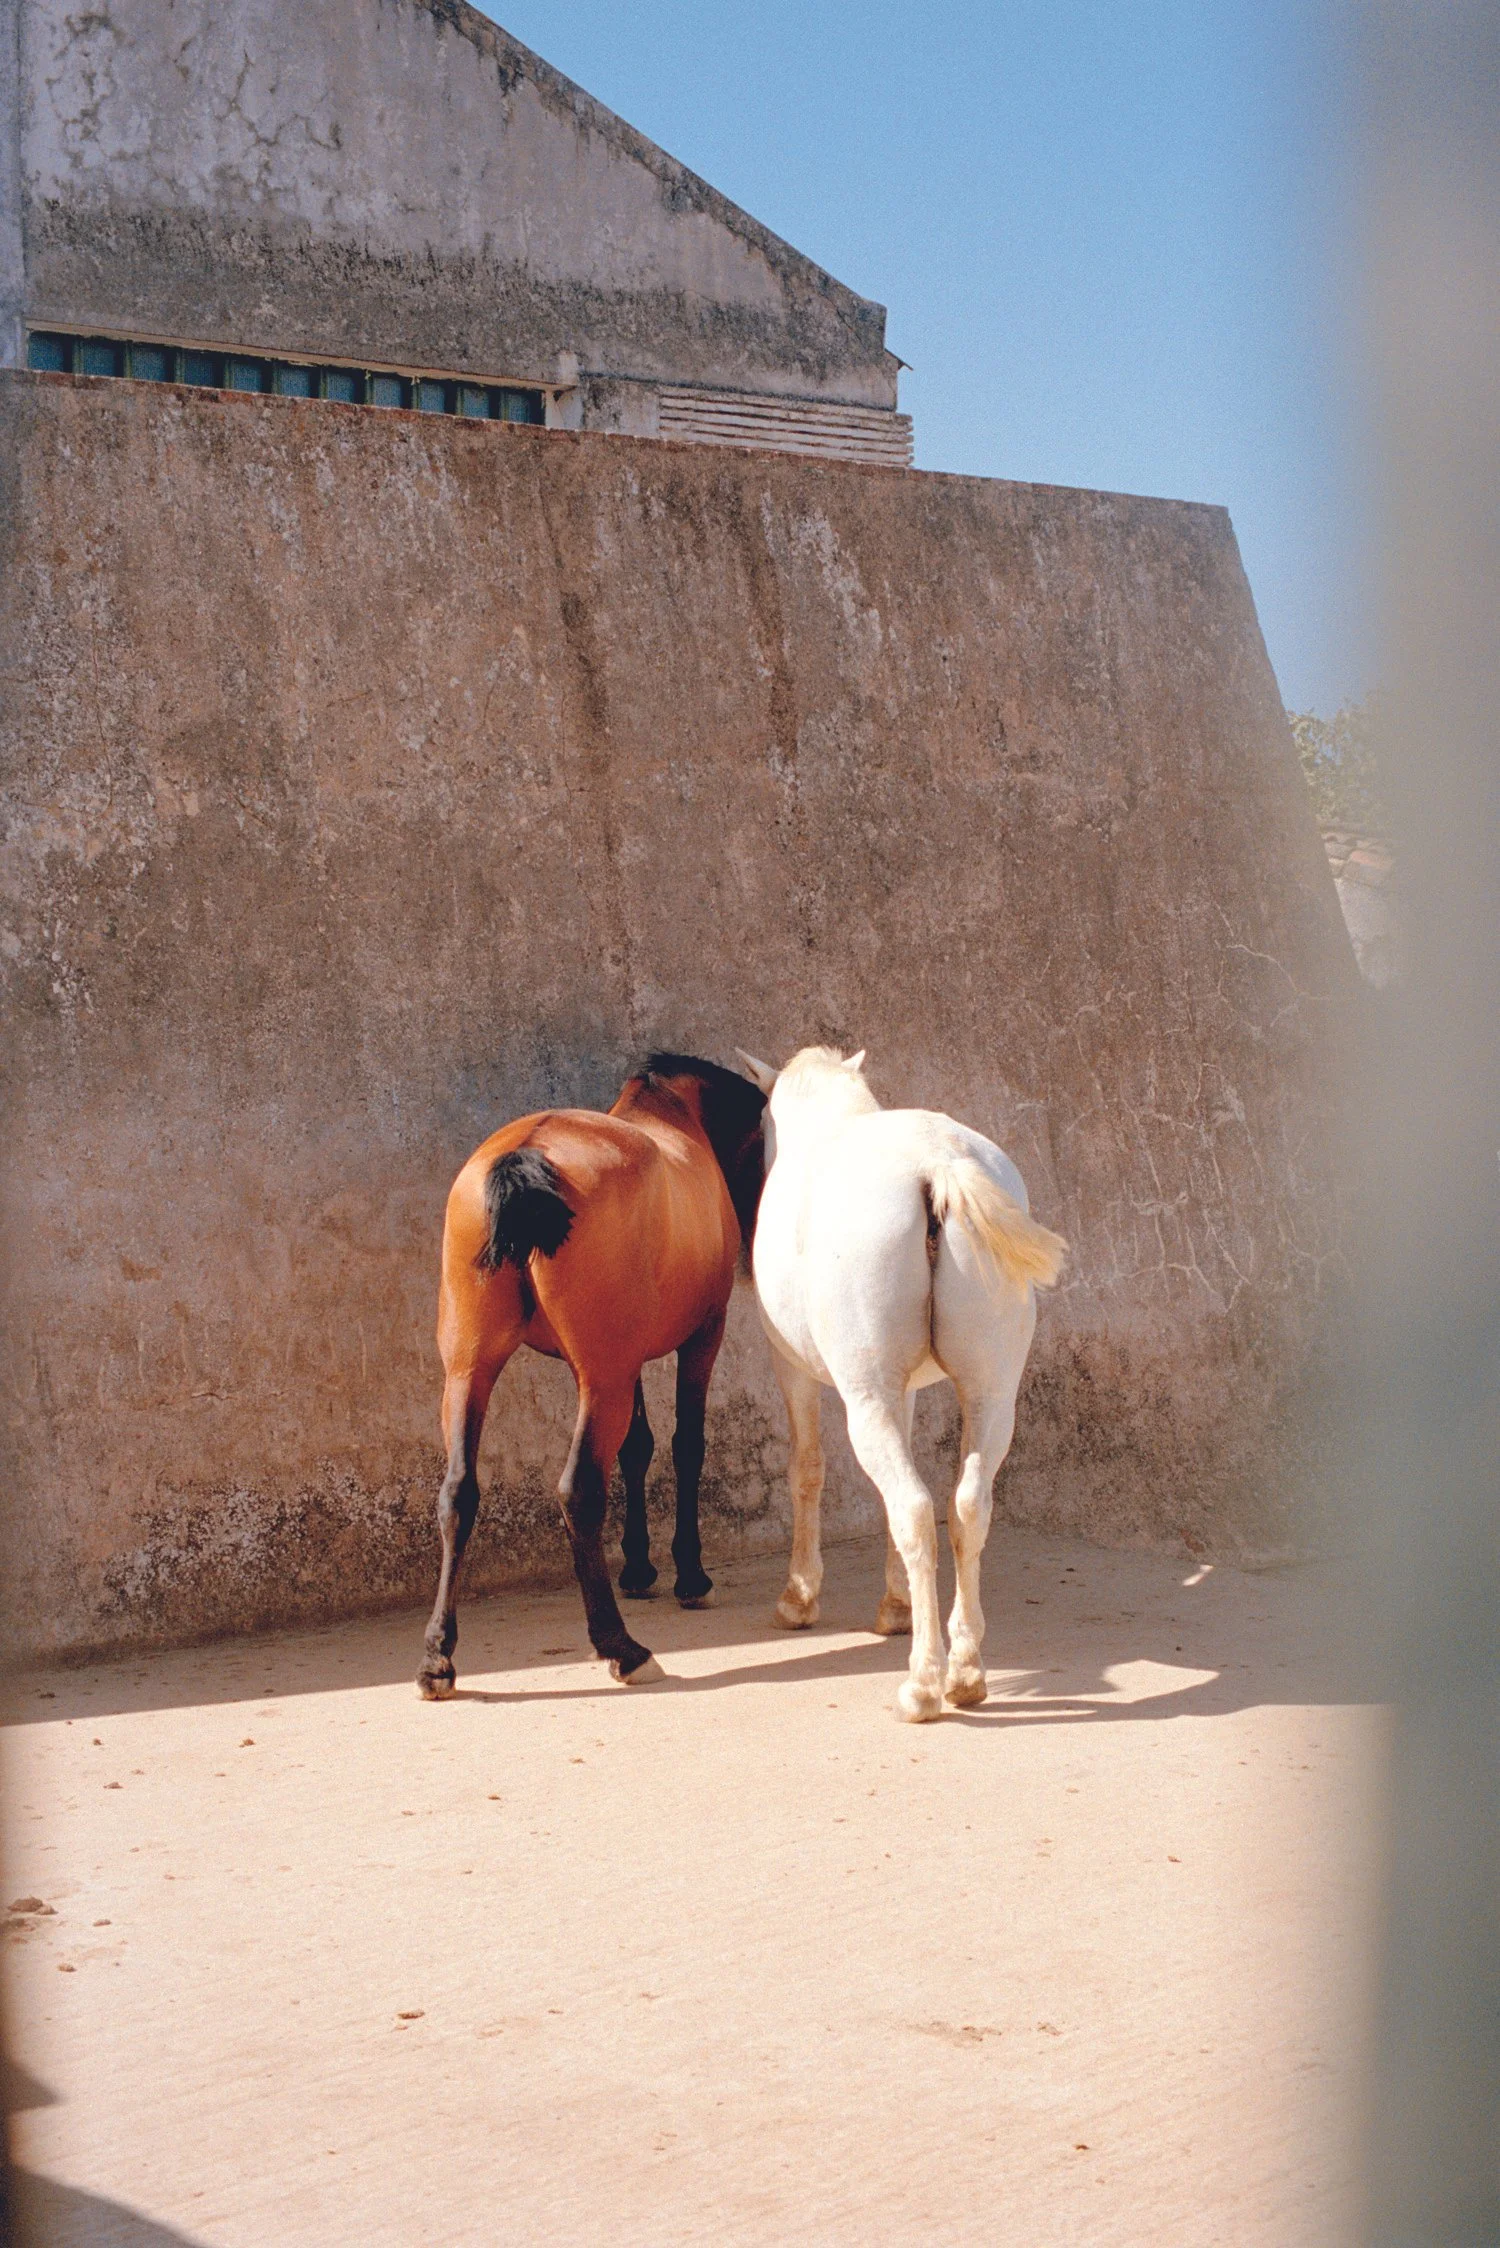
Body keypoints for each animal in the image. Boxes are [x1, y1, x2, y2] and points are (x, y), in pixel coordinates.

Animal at [417, 1054, 767, 1700]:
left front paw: (639, 1567)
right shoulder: (700, 1337)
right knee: (579, 1490)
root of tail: (523, 1158)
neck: (677, 1116)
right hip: (601, 1380)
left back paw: (437, 1657)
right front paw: (689, 1574)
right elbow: (685, 1445)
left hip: (470, 1371)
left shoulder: (627, 1360)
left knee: (457, 1492)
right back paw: (622, 1647)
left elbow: (638, 1447)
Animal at [736, 1045, 1067, 1723]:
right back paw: (965, 1670)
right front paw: (895, 1607)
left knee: (913, 1509)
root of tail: (938, 1166)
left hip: (867, 1403)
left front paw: (799, 1597)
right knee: (967, 1507)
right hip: (992, 1399)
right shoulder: (907, 1388)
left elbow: (806, 1469)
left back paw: (924, 1682)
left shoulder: (792, 1367)